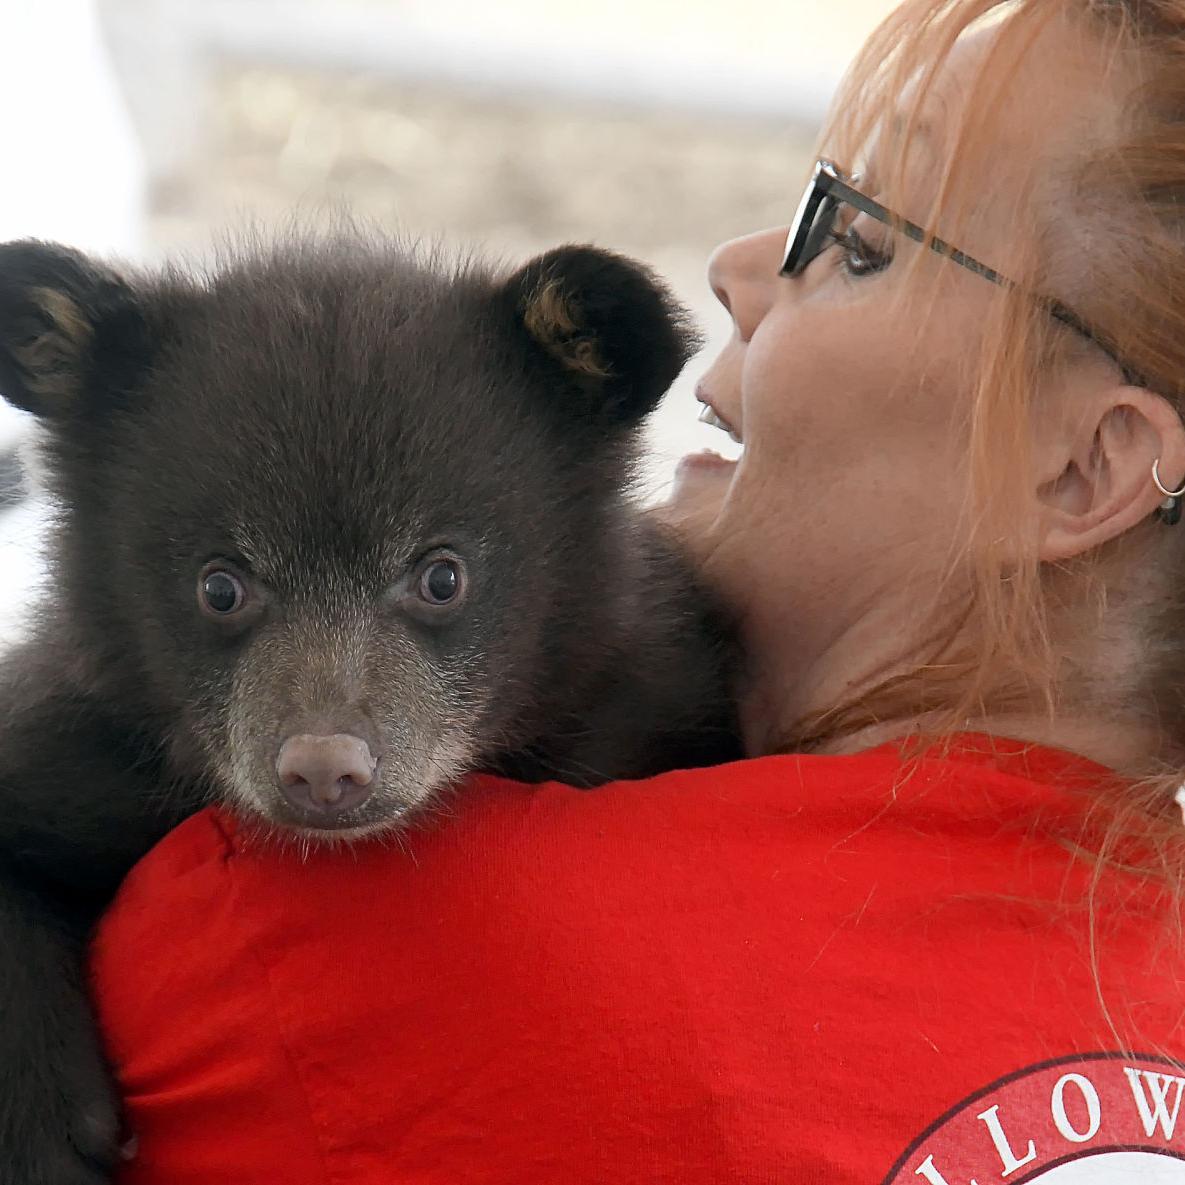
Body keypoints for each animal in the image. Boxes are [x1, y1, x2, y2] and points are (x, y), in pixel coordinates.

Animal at [0, 232, 740, 1183]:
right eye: (218, 584)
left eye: (441, 574)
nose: (323, 770)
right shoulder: (78, 742)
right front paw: (47, 1130)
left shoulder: (641, 697)